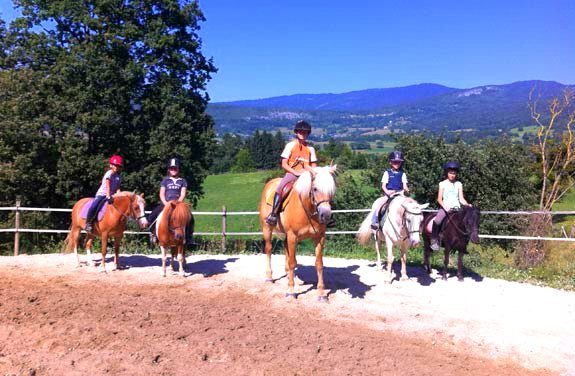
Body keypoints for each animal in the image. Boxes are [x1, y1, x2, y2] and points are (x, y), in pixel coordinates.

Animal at [260, 166, 338, 302]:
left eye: (331, 190)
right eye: (315, 188)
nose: (326, 215)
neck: (307, 209)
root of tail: (270, 183)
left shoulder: (319, 237)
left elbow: (319, 264)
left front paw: (321, 293)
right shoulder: (293, 236)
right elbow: (292, 262)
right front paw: (291, 291)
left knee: (286, 250)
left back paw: (289, 276)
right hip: (267, 228)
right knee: (269, 249)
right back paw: (269, 277)